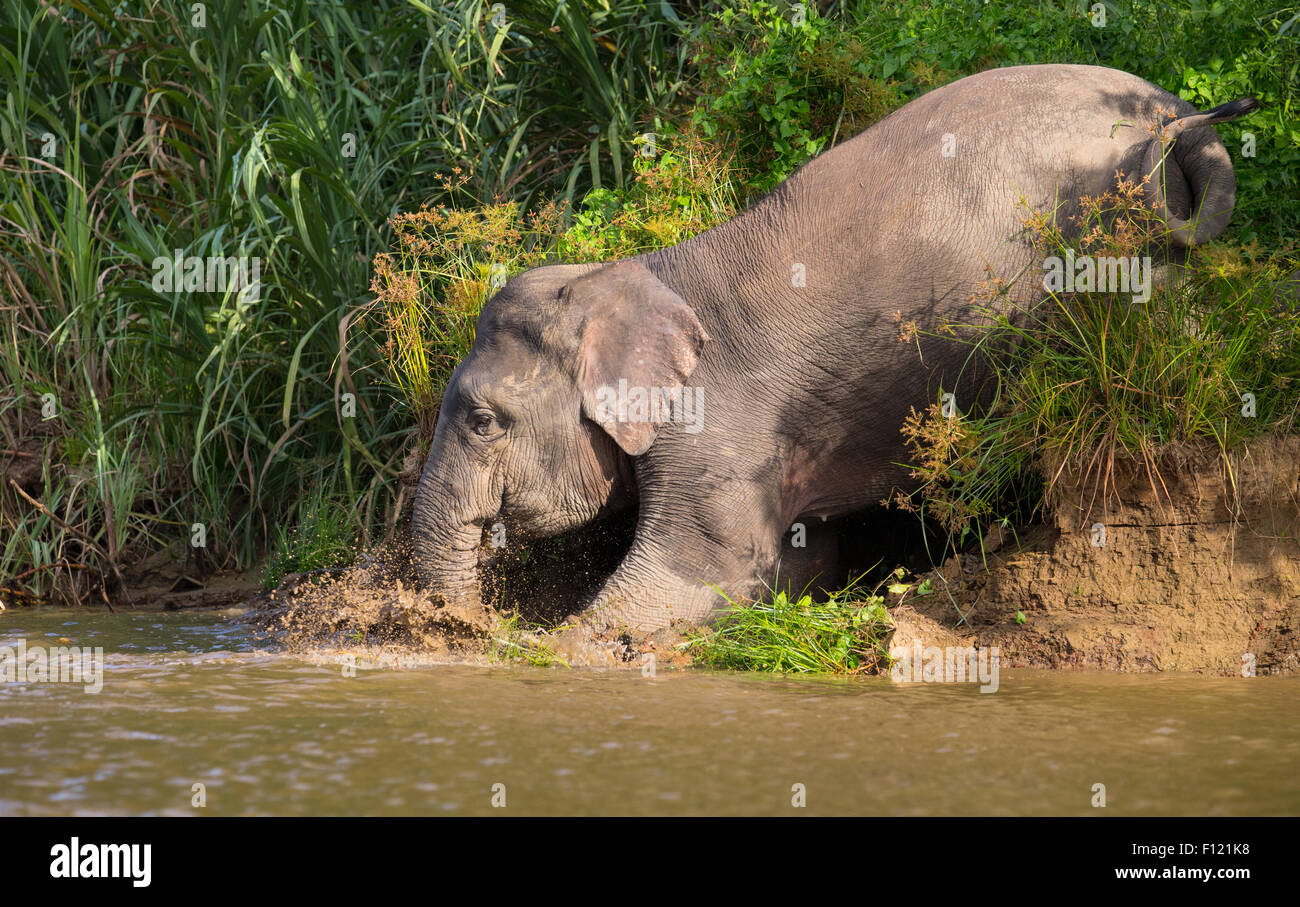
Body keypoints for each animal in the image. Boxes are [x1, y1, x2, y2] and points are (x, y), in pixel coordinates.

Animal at [410, 63, 1257, 632]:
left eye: (484, 421)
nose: (472, 621)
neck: (621, 277)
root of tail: (1181, 114)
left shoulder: (720, 425)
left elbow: (704, 574)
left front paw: (544, 648)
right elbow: (795, 561)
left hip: (1123, 250)